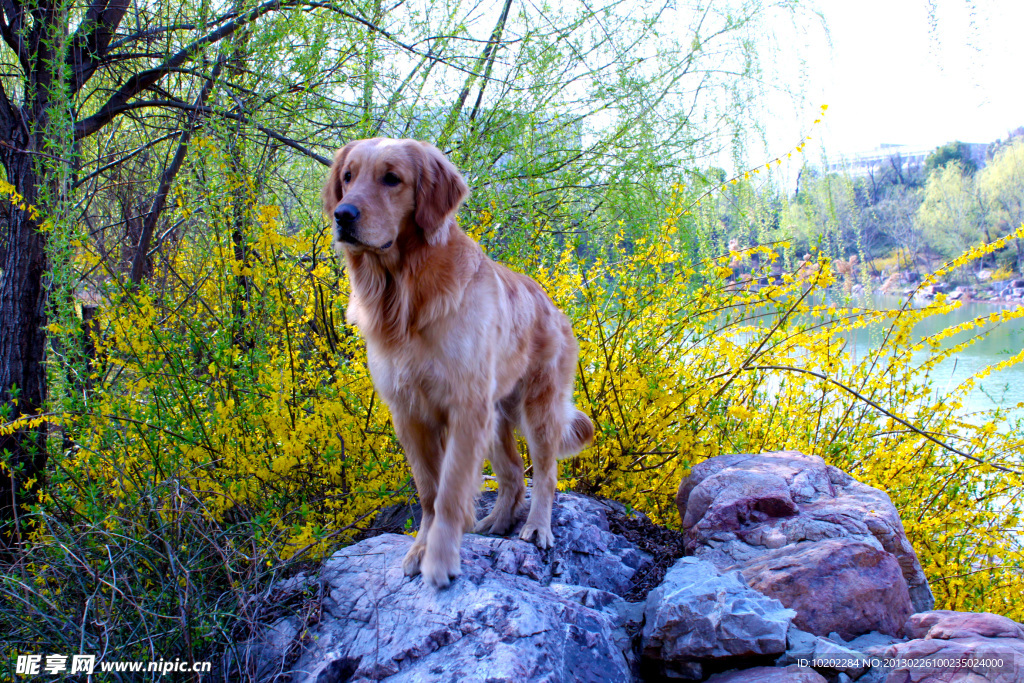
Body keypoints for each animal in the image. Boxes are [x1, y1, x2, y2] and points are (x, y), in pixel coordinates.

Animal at [319, 137, 593, 589]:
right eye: (347, 177)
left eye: (391, 178)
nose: (343, 215)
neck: (405, 293)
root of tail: (553, 305)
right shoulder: (409, 412)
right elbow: (430, 492)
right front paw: (421, 548)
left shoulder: (465, 407)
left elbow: (449, 492)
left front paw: (441, 558)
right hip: (497, 416)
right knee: (513, 473)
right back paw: (496, 522)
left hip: (538, 408)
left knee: (545, 474)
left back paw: (536, 527)